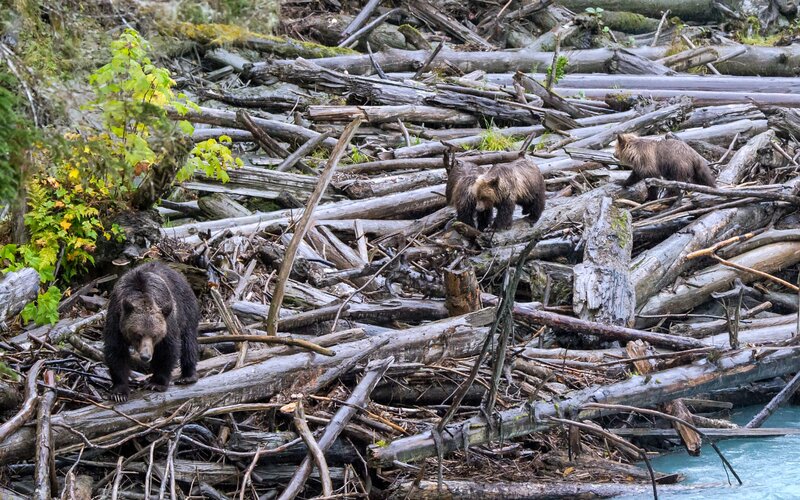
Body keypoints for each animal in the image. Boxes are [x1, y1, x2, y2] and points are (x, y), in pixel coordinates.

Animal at [103, 260, 200, 402]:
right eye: (138, 334)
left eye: (155, 335)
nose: (145, 356)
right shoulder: (116, 319)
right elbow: (116, 351)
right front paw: (119, 392)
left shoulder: (167, 319)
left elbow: (167, 349)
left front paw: (156, 383)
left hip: (186, 309)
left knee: (188, 341)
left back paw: (187, 376)